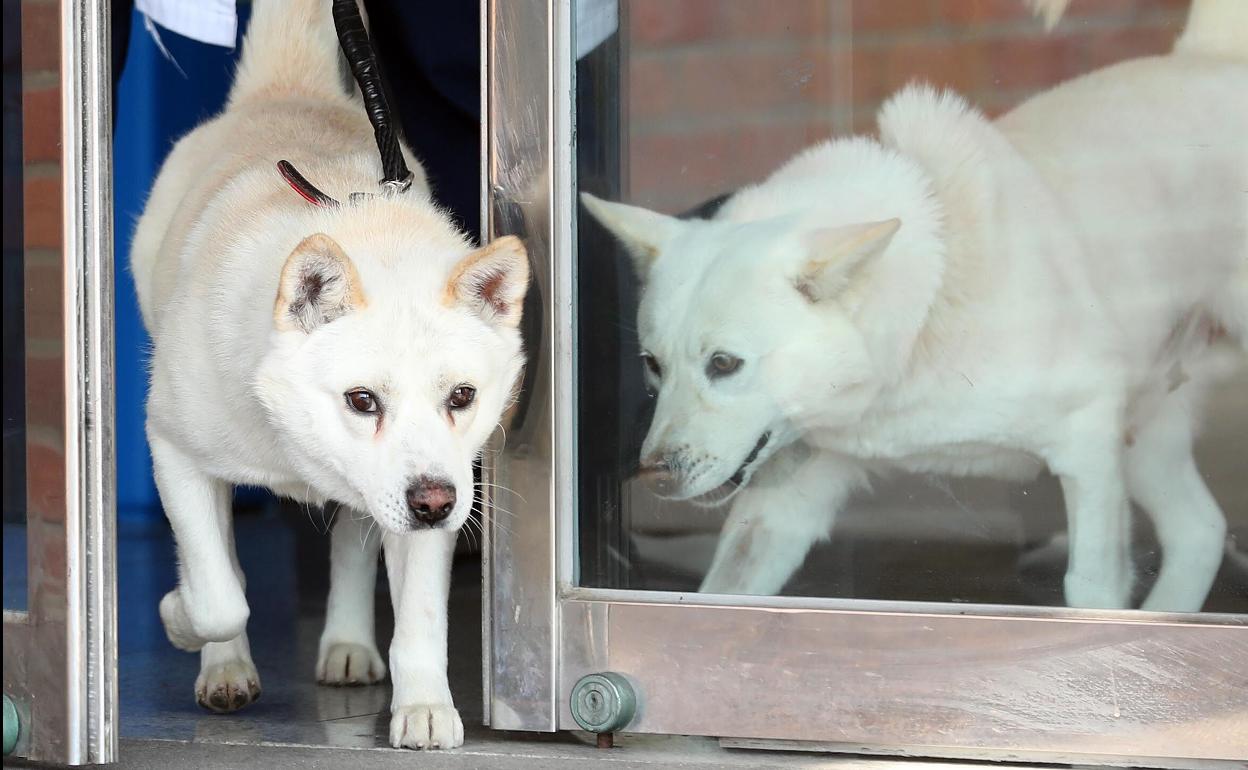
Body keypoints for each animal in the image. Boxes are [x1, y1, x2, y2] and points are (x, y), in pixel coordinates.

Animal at [131, 0, 526, 748]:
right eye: (361, 400)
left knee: (350, 546)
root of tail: (286, 92)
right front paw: (178, 620)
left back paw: (347, 645)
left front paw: (424, 708)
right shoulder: (172, 448)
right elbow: (218, 592)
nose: (435, 504)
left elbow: (419, 616)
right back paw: (224, 666)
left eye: (462, 396)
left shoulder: (433, 489)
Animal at [586, 0, 1248, 611]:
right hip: (1145, 433)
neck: (920, 318)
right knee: (1201, 530)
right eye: (652, 365)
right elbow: (727, 593)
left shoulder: (1088, 443)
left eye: (724, 364)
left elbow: (1090, 592)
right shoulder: (785, 502)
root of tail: (1207, 55)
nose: (651, 473)